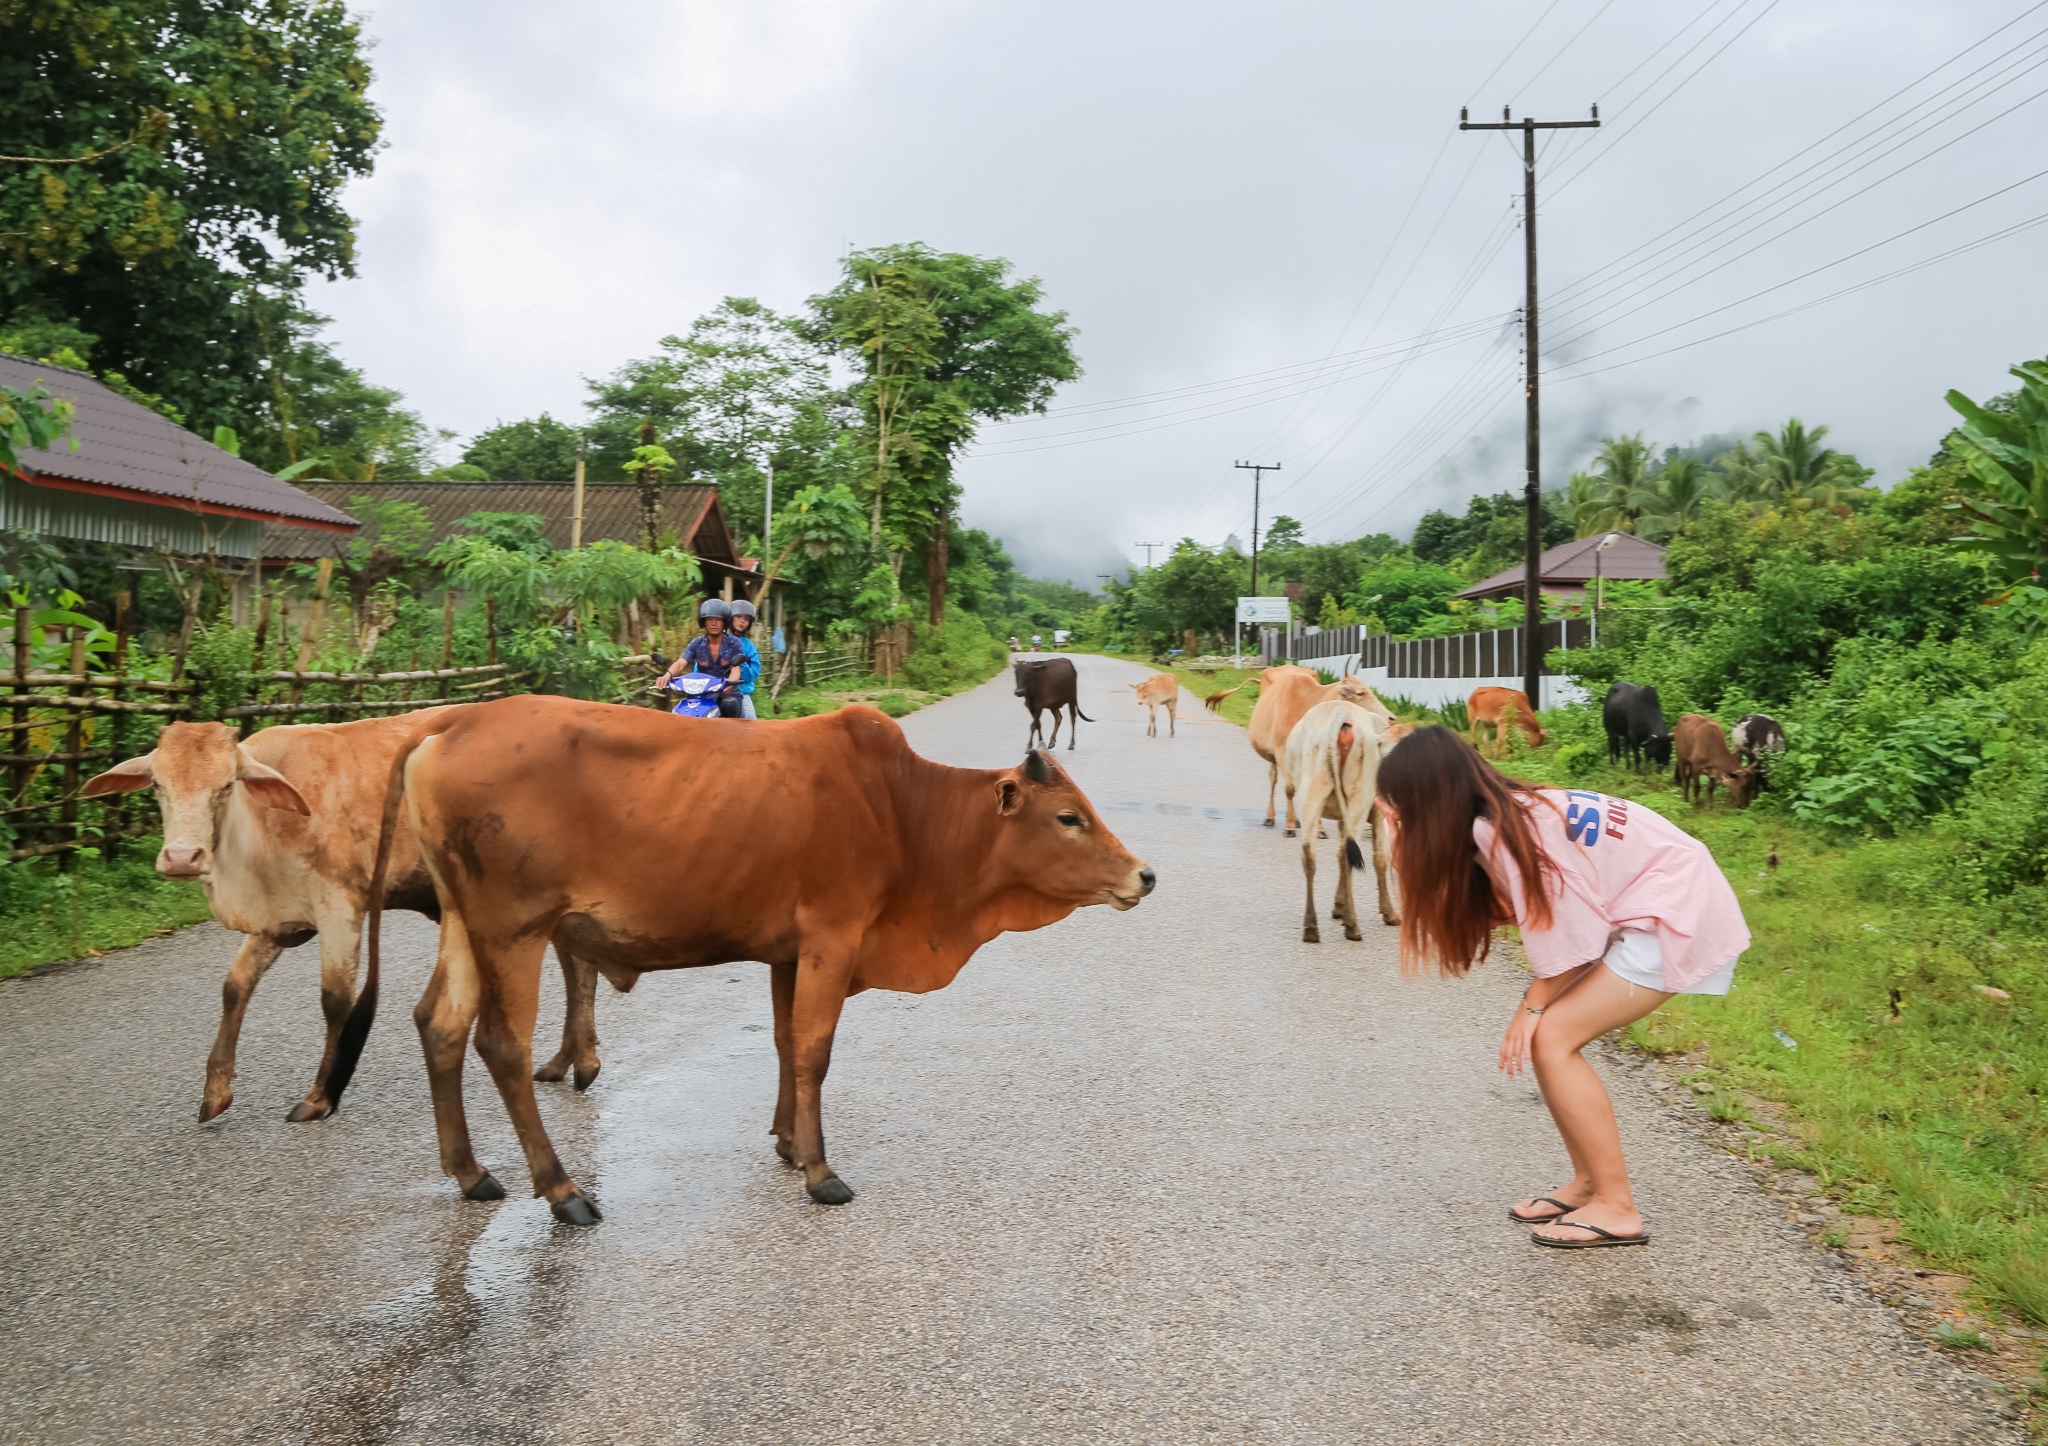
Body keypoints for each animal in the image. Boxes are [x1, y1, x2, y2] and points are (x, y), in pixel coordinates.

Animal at [88, 716, 598, 1122]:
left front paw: (320, 1096)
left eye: (226, 786)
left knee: (580, 964)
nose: (182, 857)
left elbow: (335, 1000)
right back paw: (569, 1061)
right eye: (158, 785)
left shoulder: (341, 907)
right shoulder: (279, 921)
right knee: (577, 963)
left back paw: (582, 1060)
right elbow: (235, 987)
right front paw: (215, 1093)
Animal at [352, 692, 1155, 1220]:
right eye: (1069, 818)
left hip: (464, 925)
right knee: (501, 1046)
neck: (901, 810)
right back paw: (562, 1190)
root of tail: (448, 721)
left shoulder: (787, 954)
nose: (1143, 875)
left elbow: (783, 1041)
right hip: (513, 930)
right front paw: (821, 1170)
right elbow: (814, 1049)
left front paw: (789, 1142)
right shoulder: (833, 937)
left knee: (440, 1026)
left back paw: (471, 1173)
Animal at [1196, 659, 1392, 827]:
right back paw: (1272, 816)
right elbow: (1289, 788)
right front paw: (1290, 825)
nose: (1390, 717)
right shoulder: (1282, 752)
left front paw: (1318, 828)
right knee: (1273, 778)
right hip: (1274, 756)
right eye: (1360, 693)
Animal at [1286, 696, 1400, 942]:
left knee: (1309, 854)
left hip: (1312, 796)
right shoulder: (1378, 811)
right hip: (1359, 797)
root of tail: (1341, 713)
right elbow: (1380, 859)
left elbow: (1339, 855)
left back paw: (1311, 927)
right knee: (1350, 855)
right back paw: (1352, 925)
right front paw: (1389, 913)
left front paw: (1338, 906)